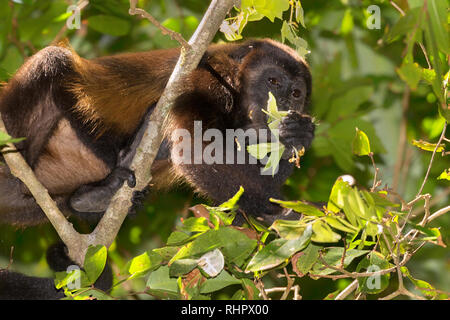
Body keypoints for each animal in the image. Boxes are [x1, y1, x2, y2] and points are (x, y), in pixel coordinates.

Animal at [0, 38, 314, 298]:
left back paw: (93, 197)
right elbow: (195, 152)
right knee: (53, 61)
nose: (284, 103)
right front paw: (289, 213)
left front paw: (296, 137)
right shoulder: (204, 81)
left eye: (296, 93)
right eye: (273, 81)